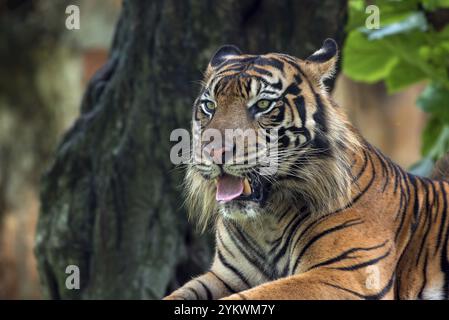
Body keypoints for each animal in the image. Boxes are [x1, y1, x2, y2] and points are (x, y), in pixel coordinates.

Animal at [163, 39, 448, 300]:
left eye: (263, 105)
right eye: (210, 106)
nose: (213, 152)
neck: (266, 221)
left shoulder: (347, 274)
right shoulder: (225, 275)